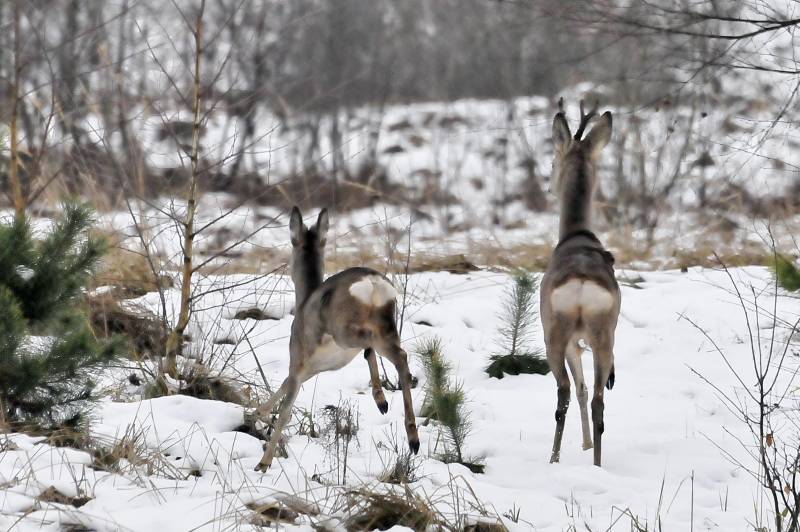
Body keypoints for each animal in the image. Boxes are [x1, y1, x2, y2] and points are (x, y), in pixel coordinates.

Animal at [253, 206, 420, 472]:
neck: (305, 299)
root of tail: (372, 282)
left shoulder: (298, 358)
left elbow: (286, 410)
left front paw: (264, 462)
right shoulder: (312, 368)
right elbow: (283, 386)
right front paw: (258, 412)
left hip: (344, 329)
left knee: (376, 345)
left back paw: (388, 407)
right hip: (386, 324)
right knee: (398, 356)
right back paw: (407, 431)